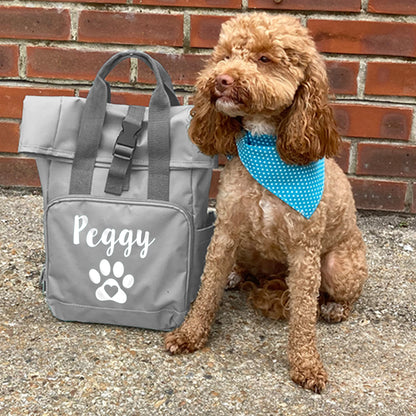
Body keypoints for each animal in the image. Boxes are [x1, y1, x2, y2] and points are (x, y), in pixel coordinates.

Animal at [165, 11, 368, 392]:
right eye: (225, 55)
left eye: (264, 58)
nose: (221, 80)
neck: (265, 147)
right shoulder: (226, 231)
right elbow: (207, 289)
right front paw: (190, 334)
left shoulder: (304, 251)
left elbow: (303, 315)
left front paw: (306, 365)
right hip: (246, 246)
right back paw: (235, 275)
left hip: (340, 266)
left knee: (342, 295)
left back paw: (334, 307)